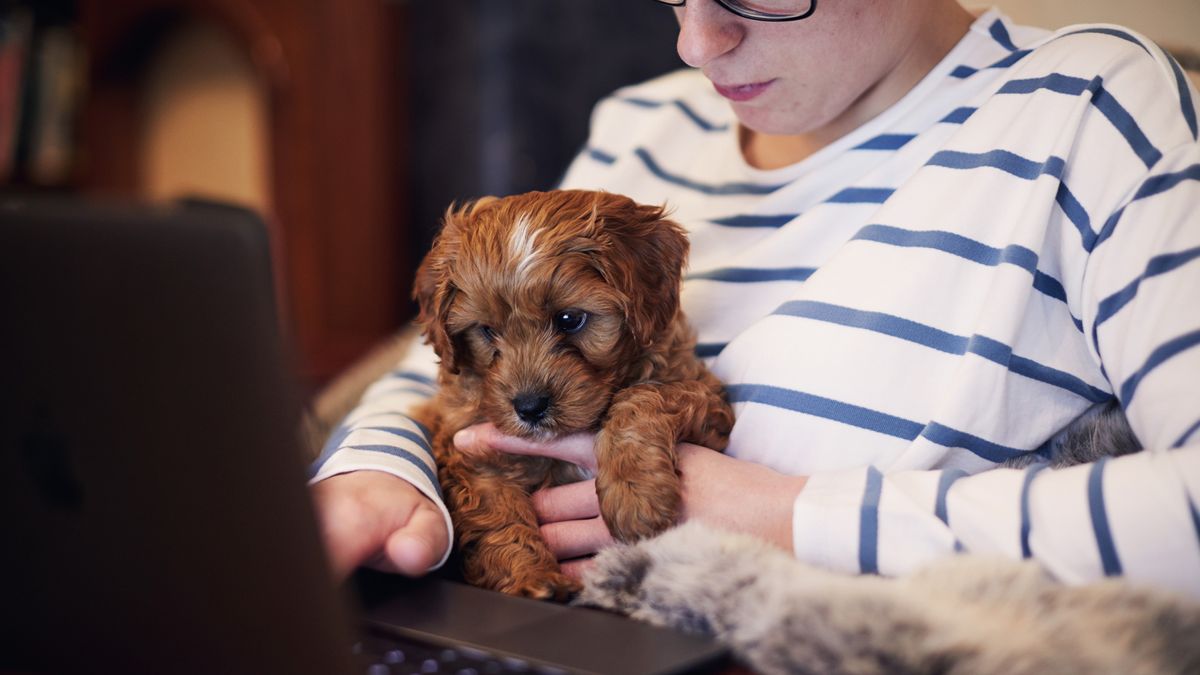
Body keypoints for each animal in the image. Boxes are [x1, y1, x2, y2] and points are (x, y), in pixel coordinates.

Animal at [410, 186, 729, 595]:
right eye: (487, 331)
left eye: (570, 319)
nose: (529, 407)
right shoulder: (469, 455)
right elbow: (497, 520)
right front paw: (532, 578)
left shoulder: (708, 400)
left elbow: (644, 397)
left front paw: (635, 493)